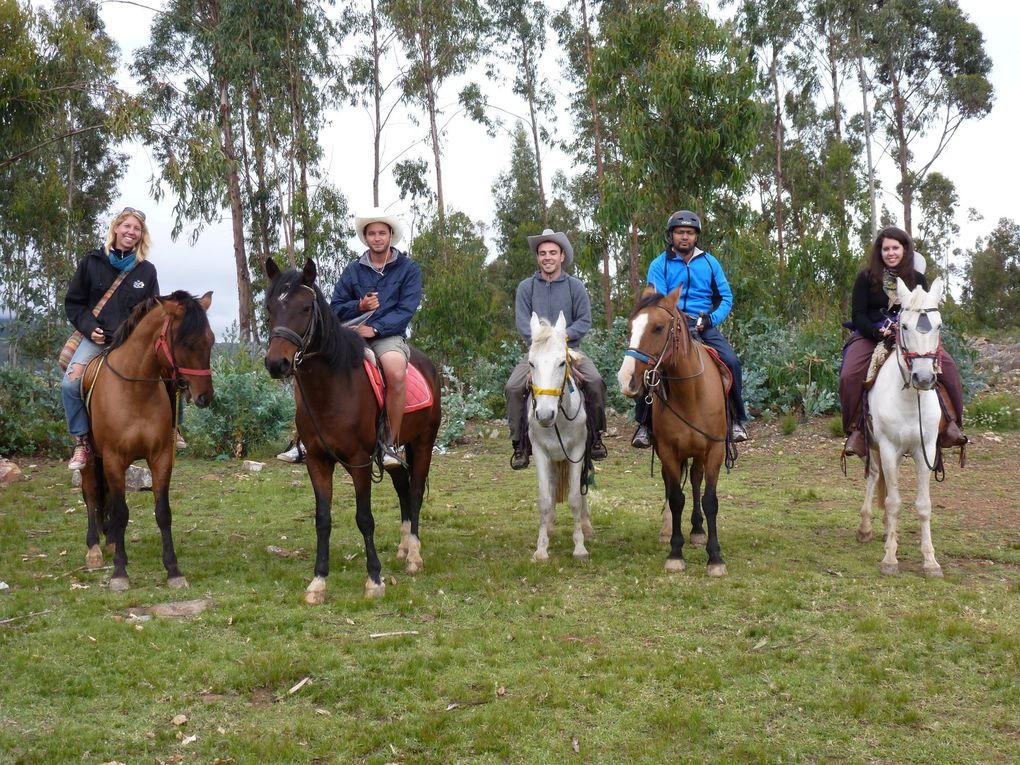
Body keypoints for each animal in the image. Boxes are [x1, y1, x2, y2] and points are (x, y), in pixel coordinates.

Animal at [80, 289, 215, 591]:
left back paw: (110, 542)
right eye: (186, 342)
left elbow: (162, 512)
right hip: (91, 457)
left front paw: (173, 570)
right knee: (91, 494)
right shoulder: (114, 459)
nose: (205, 397)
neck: (135, 391)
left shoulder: (160, 458)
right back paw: (94, 549)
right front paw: (119, 573)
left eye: (211, 340)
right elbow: (120, 512)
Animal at [263, 258, 442, 603]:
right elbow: (322, 519)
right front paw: (318, 582)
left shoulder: (359, 462)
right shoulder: (318, 462)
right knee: (403, 487)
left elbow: (364, 518)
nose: (277, 363)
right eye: (269, 308)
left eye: (305, 308)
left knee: (414, 493)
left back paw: (414, 555)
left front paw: (374, 579)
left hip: (423, 443)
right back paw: (403, 548)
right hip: (392, 453)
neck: (333, 388)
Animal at [530, 312, 595, 563]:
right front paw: (541, 549)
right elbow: (545, 499)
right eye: (531, 363)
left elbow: (575, 497)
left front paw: (580, 546)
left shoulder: (577, 450)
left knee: (583, 486)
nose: (544, 415)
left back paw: (586, 526)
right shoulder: (540, 452)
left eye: (561, 363)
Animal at [612, 287, 734, 575]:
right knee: (672, 487)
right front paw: (675, 553)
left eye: (658, 328)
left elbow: (709, 500)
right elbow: (676, 497)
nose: (626, 380)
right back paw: (668, 531)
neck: (690, 393)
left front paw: (715, 557)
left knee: (696, 482)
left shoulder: (714, 449)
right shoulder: (668, 450)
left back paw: (698, 530)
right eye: (630, 327)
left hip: (699, 453)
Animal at [856, 279, 942, 579]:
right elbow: (893, 501)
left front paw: (930, 561)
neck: (909, 400)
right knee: (873, 476)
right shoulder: (887, 447)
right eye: (903, 326)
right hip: (874, 446)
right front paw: (890, 559)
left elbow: (924, 505)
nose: (924, 378)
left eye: (939, 326)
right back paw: (866, 528)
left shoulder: (925, 450)